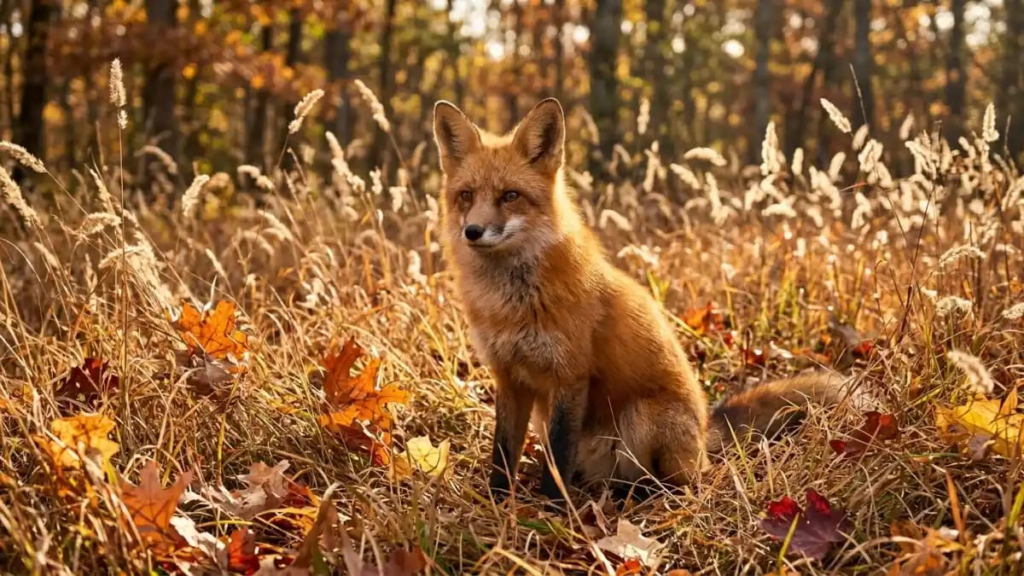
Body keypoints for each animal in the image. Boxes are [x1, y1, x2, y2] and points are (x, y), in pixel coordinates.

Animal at [432, 97, 850, 503]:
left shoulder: (570, 377)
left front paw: (552, 510)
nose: (473, 231)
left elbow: (558, 456)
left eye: (510, 196)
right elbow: (503, 453)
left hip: (641, 419)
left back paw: (639, 495)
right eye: (466, 195)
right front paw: (496, 502)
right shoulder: (509, 378)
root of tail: (705, 434)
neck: (510, 304)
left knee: (679, 481)